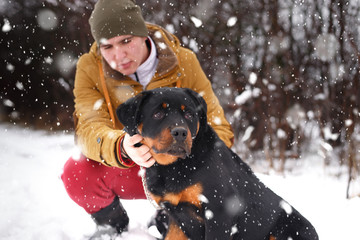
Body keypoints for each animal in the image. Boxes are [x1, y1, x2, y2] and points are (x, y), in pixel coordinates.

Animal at [116, 88, 318, 240]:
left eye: (189, 114)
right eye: (157, 113)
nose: (180, 132)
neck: (174, 167)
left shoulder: (218, 211)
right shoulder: (175, 217)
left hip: (289, 229)